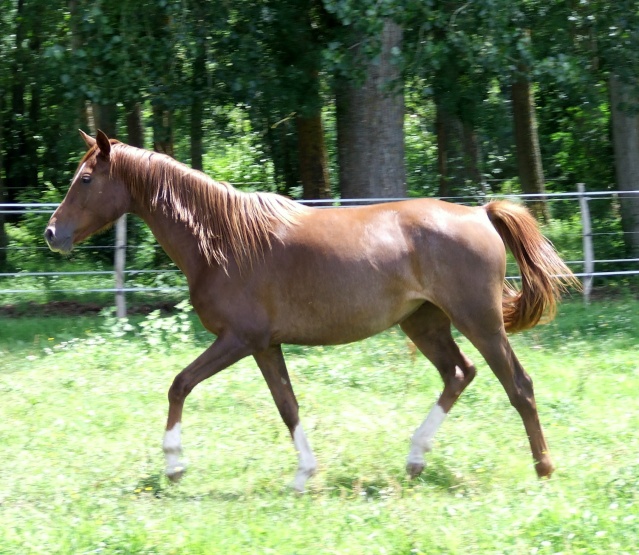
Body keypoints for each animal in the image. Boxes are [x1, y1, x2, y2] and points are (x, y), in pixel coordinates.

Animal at [43, 130, 580, 490]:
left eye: (85, 178)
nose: (52, 233)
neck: (222, 240)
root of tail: (479, 214)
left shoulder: (238, 340)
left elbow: (180, 384)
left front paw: (174, 463)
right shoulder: (265, 345)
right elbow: (288, 406)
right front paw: (304, 474)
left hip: (480, 322)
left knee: (518, 385)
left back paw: (544, 468)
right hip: (424, 323)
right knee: (458, 374)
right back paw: (415, 458)